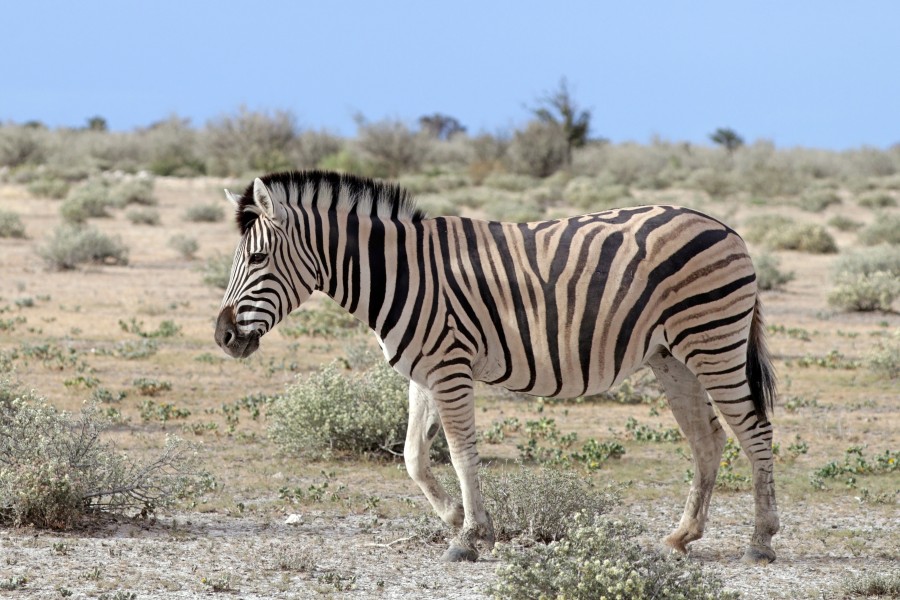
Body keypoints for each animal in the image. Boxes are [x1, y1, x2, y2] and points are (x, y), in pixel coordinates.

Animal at [214, 170, 779, 564]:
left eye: (258, 259)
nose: (223, 337)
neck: (401, 273)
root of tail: (726, 227)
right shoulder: (422, 371)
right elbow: (413, 456)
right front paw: (452, 516)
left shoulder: (450, 367)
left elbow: (462, 454)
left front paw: (470, 536)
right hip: (671, 357)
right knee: (708, 439)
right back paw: (682, 536)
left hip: (713, 342)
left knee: (755, 432)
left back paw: (761, 542)